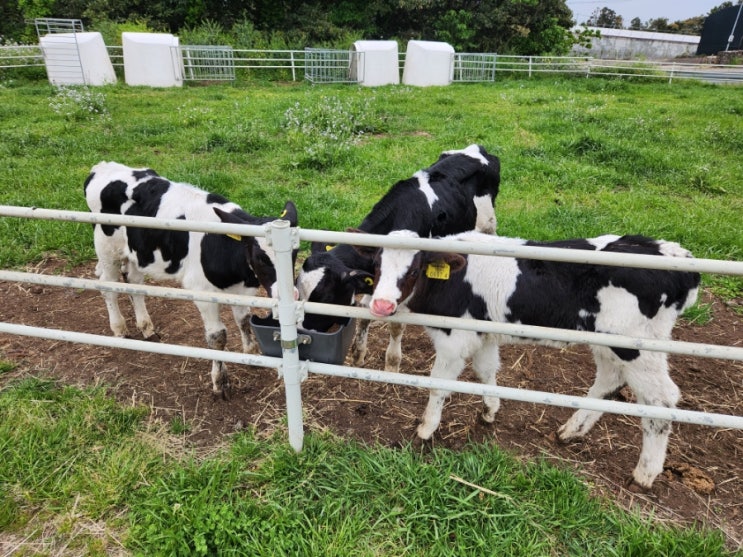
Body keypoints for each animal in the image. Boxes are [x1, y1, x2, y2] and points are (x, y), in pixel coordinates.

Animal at [85, 161, 300, 396]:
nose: (291, 293)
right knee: (107, 285)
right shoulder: (202, 292)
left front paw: (251, 354)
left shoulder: (242, 290)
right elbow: (217, 337)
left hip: (138, 251)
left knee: (134, 282)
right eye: (260, 258)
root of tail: (102, 167)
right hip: (106, 248)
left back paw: (146, 327)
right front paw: (220, 382)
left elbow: (243, 321)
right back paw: (119, 328)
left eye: (296, 252)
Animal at [294, 144, 500, 370]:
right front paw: (358, 353)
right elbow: (365, 311)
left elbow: (396, 325)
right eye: (297, 289)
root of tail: (478, 148)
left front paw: (392, 364)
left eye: (326, 298)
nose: (304, 330)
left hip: (488, 224)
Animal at [372, 230, 704, 486]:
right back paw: (571, 431)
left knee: (661, 399)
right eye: (376, 267)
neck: (453, 277)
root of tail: (680, 259)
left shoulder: (454, 338)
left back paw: (645, 473)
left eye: (413, 271)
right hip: (609, 343)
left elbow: (439, 384)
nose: (381, 305)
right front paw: (490, 410)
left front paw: (426, 429)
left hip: (635, 347)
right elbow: (486, 371)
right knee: (609, 381)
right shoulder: (484, 333)